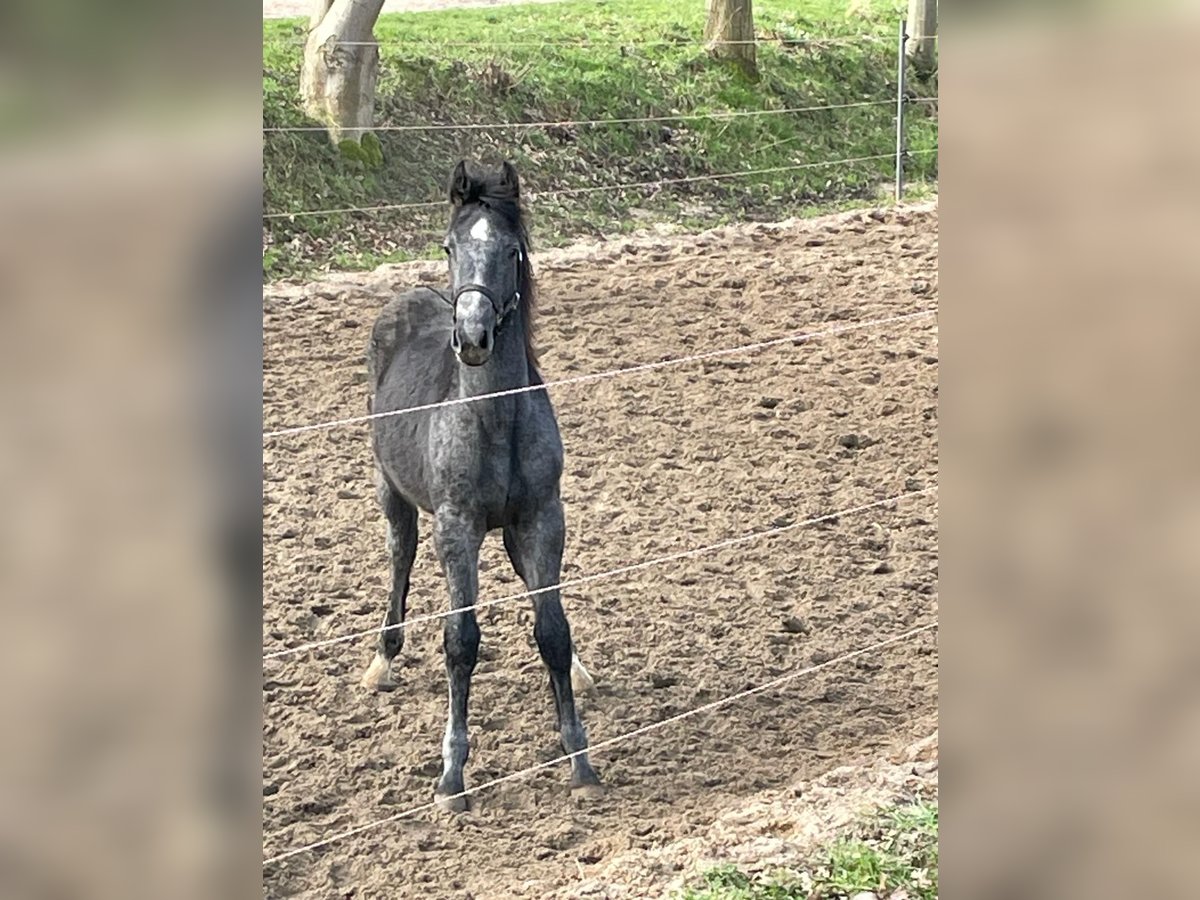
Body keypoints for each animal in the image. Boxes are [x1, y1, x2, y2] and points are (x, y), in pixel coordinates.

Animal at [360, 160, 604, 811]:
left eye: (511, 249)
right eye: (450, 246)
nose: (471, 337)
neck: (494, 419)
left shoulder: (542, 517)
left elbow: (553, 630)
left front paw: (580, 759)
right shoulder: (457, 527)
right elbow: (460, 641)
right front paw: (452, 777)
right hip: (392, 491)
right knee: (400, 555)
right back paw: (382, 660)